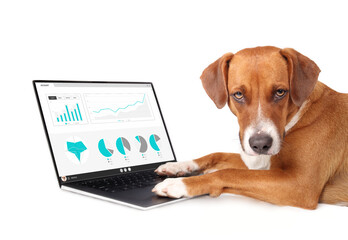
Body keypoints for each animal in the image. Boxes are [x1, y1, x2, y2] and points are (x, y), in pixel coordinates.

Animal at [152, 46, 348, 208]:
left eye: (280, 92)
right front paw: (178, 166)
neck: (296, 118)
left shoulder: (300, 184)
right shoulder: (259, 163)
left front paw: (180, 184)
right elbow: (216, 154)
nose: (260, 144)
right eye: (238, 94)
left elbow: (228, 173)